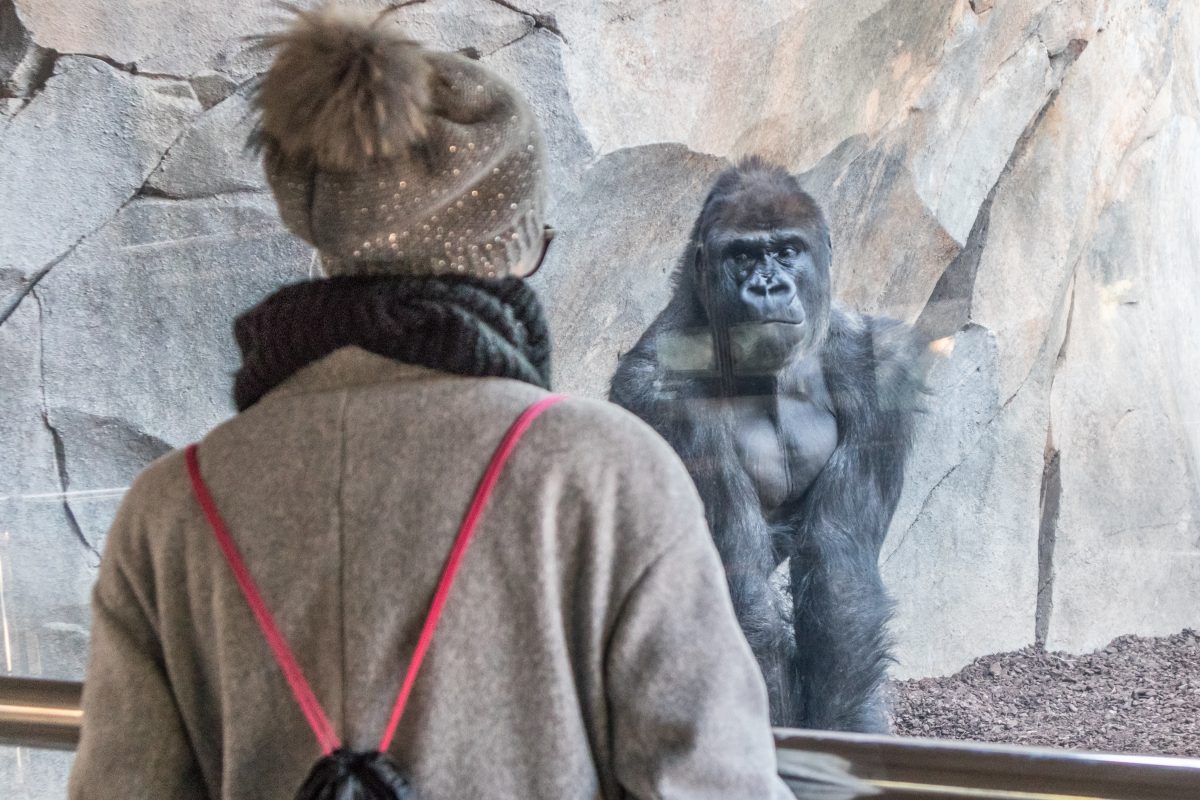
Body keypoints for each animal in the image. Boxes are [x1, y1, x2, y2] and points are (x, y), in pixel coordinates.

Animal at [609, 158, 926, 734]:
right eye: (742, 255)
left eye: (787, 250)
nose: (769, 287)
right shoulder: (657, 393)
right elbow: (738, 583)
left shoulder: (879, 366)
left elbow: (838, 567)